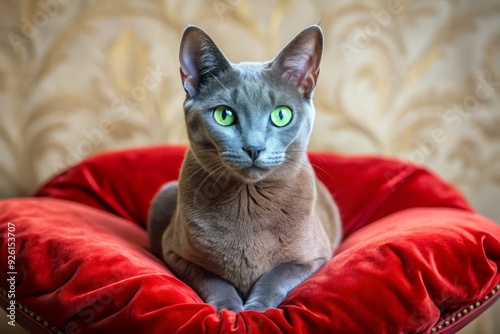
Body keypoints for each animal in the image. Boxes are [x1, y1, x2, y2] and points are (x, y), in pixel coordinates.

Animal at [147, 24, 344, 314]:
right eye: (224, 115)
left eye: (281, 115)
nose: (254, 147)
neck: (248, 200)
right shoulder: (175, 253)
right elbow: (213, 278)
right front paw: (230, 309)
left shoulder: (315, 258)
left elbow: (276, 275)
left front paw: (256, 309)